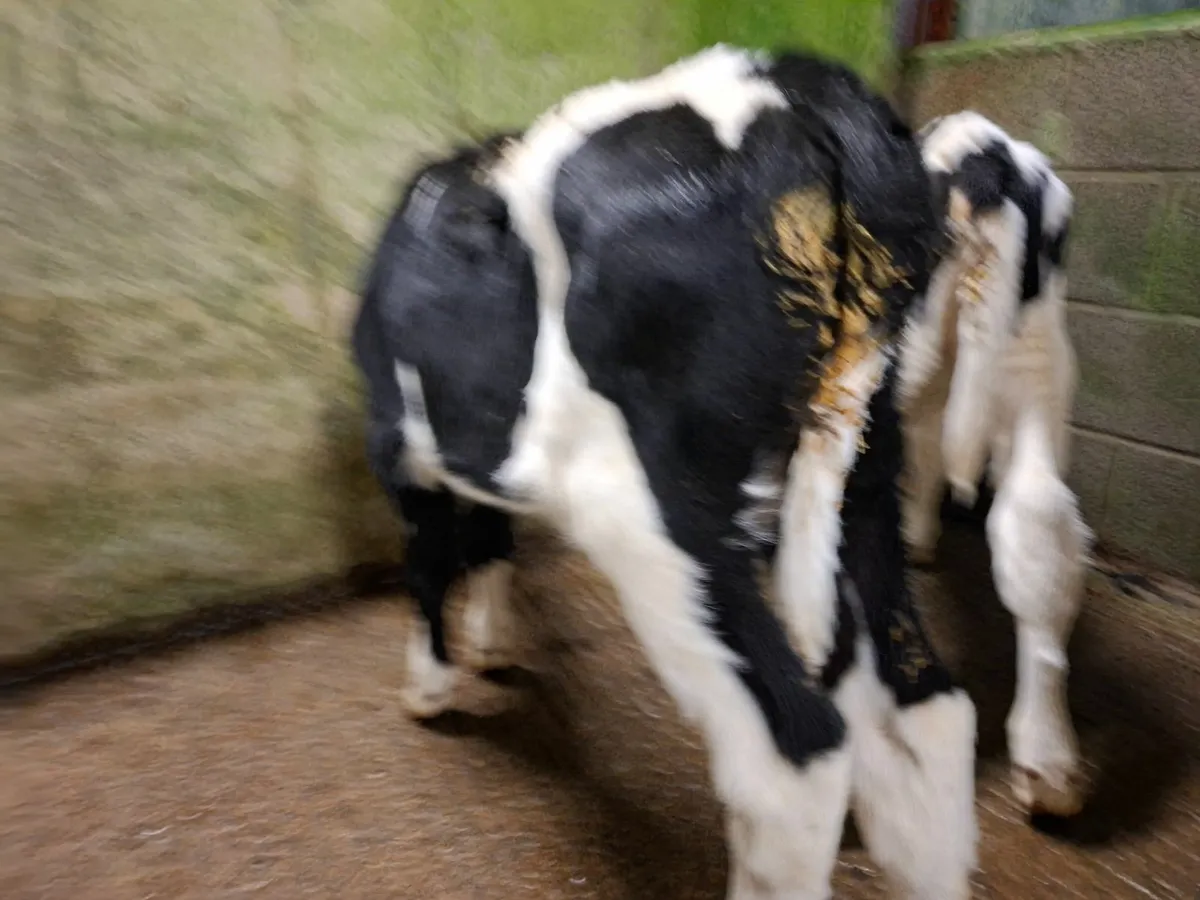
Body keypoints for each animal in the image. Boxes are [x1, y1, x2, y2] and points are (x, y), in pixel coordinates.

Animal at [352, 46, 977, 900]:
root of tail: (796, 87)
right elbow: (492, 538)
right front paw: (495, 642)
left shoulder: (399, 442)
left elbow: (427, 560)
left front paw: (430, 685)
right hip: (868, 465)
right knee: (930, 713)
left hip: (652, 509)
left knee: (797, 756)